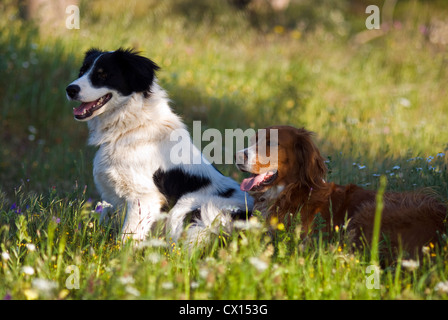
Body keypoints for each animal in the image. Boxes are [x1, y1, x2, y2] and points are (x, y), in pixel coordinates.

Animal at [66, 48, 252, 246]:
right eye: (82, 71)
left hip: (186, 206)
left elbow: (126, 238)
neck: (131, 126)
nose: (70, 89)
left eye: (103, 75)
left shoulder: (144, 198)